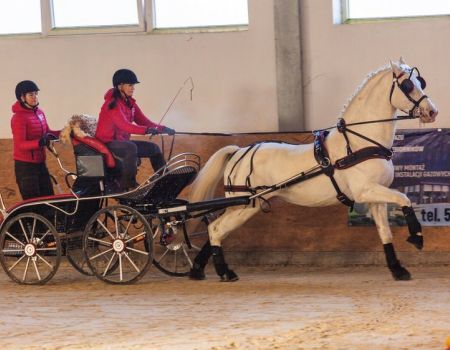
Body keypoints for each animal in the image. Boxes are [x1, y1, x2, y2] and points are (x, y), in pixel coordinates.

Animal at [188, 58, 438, 282]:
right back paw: (224, 273)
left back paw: (199, 270)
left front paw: (398, 270)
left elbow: (385, 232)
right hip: (246, 205)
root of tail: (239, 151)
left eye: (421, 82)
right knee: (217, 230)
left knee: (214, 229)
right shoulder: (365, 191)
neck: (358, 143)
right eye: (408, 85)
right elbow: (405, 198)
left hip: (241, 205)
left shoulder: (375, 196)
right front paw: (417, 237)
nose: (432, 111)